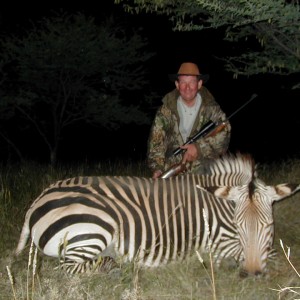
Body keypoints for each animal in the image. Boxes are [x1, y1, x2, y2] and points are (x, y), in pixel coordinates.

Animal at [15, 154, 300, 276]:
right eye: (238, 226)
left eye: (269, 226)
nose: (251, 274)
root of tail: (39, 197)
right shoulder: (223, 244)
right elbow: (275, 256)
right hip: (96, 227)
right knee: (66, 269)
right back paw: (116, 266)